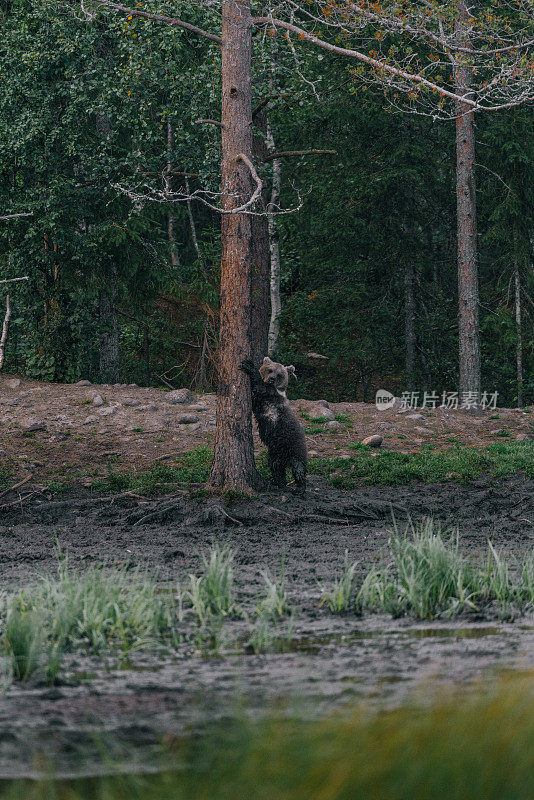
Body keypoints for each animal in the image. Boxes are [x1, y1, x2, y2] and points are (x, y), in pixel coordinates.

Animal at [241, 358, 308, 494]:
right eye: (270, 369)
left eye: (279, 374)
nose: (271, 378)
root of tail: (286, 459)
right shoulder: (259, 402)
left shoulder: (269, 396)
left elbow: (261, 386)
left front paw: (248, 365)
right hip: (275, 453)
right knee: (276, 467)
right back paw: (278, 483)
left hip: (295, 446)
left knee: (298, 467)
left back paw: (299, 487)